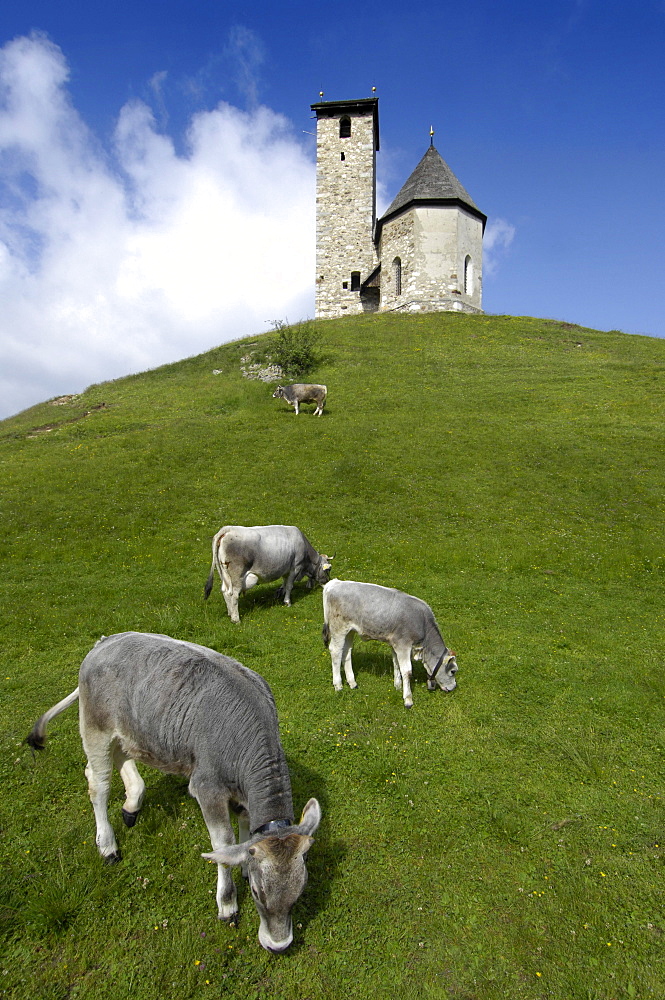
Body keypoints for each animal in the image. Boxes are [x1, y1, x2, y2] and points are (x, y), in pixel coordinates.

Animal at [23, 632, 320, 952]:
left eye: (301, 888)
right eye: (256, 892)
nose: (279, 945)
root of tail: (106, 640)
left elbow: (243, 824)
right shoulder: (207, 786)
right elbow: (222, 842)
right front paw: (227, 904)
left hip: (131, 731)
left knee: (118, 760)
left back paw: (131, 805)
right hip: (95, 728)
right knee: (98, 784)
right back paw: (107, 845)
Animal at [202, 528, 332, 620]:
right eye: (328, 569)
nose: (327, 582)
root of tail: (227, 530)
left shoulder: (285, 568)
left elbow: (284, 583)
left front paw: (279, 593)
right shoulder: (295, 567)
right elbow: (290, 586)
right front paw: (287, 602)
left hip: (225, 575)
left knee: (225, 592)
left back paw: (230, 613)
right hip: (237, 576)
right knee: (233, 595)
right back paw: (236, 619)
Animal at [320, 576, 456, 708]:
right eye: (453, 671)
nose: (453, 688)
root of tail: (334, 583)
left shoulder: (395, 644)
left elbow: (396, 663)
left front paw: (398, 686)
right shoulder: (403, 645)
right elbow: (407, 671)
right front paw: (408, 699)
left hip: (350, 631)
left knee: (346, 652)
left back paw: (353, 683)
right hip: (339, 628)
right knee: (336, 651)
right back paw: (338, 685)